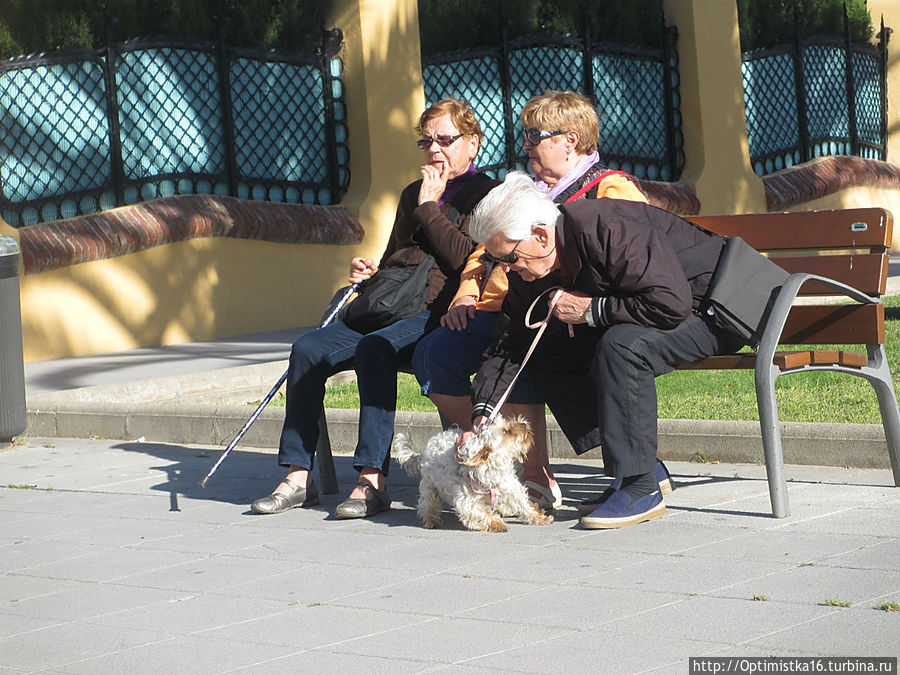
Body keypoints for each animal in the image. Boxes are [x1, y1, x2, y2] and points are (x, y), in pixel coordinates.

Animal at [396, 418, 556, 532]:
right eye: (505, 431)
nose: (523, 424)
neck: (491, 470)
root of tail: (424, 452)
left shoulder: (510, 488)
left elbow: (524, 504)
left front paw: (539, 517)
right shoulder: (467, 502)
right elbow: (481, 513)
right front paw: (497, 523)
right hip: (430, 486)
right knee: (428, 504)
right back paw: (431, 521)